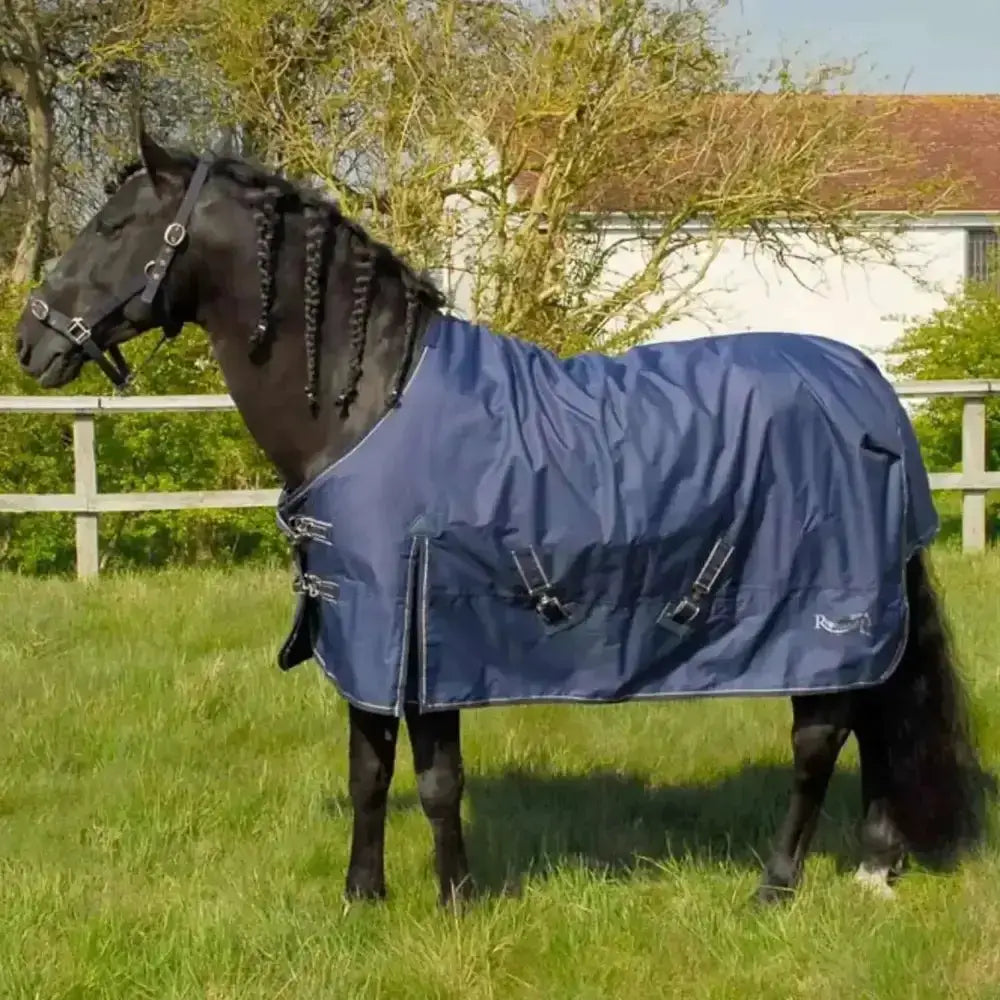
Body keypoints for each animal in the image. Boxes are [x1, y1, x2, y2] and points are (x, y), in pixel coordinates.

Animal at [13, 128, 992, 908]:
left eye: (112, 228)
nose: (31, 342)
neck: (368, 403)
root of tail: (868, 390)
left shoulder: (431, 628)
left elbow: (437, 781)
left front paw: (455, 900)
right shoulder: (365, 627)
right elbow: (369, 772)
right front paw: (362, 898)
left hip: (823, 619)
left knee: (821, 742)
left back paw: (776, 886)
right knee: (878, 725)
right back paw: (874, 869)